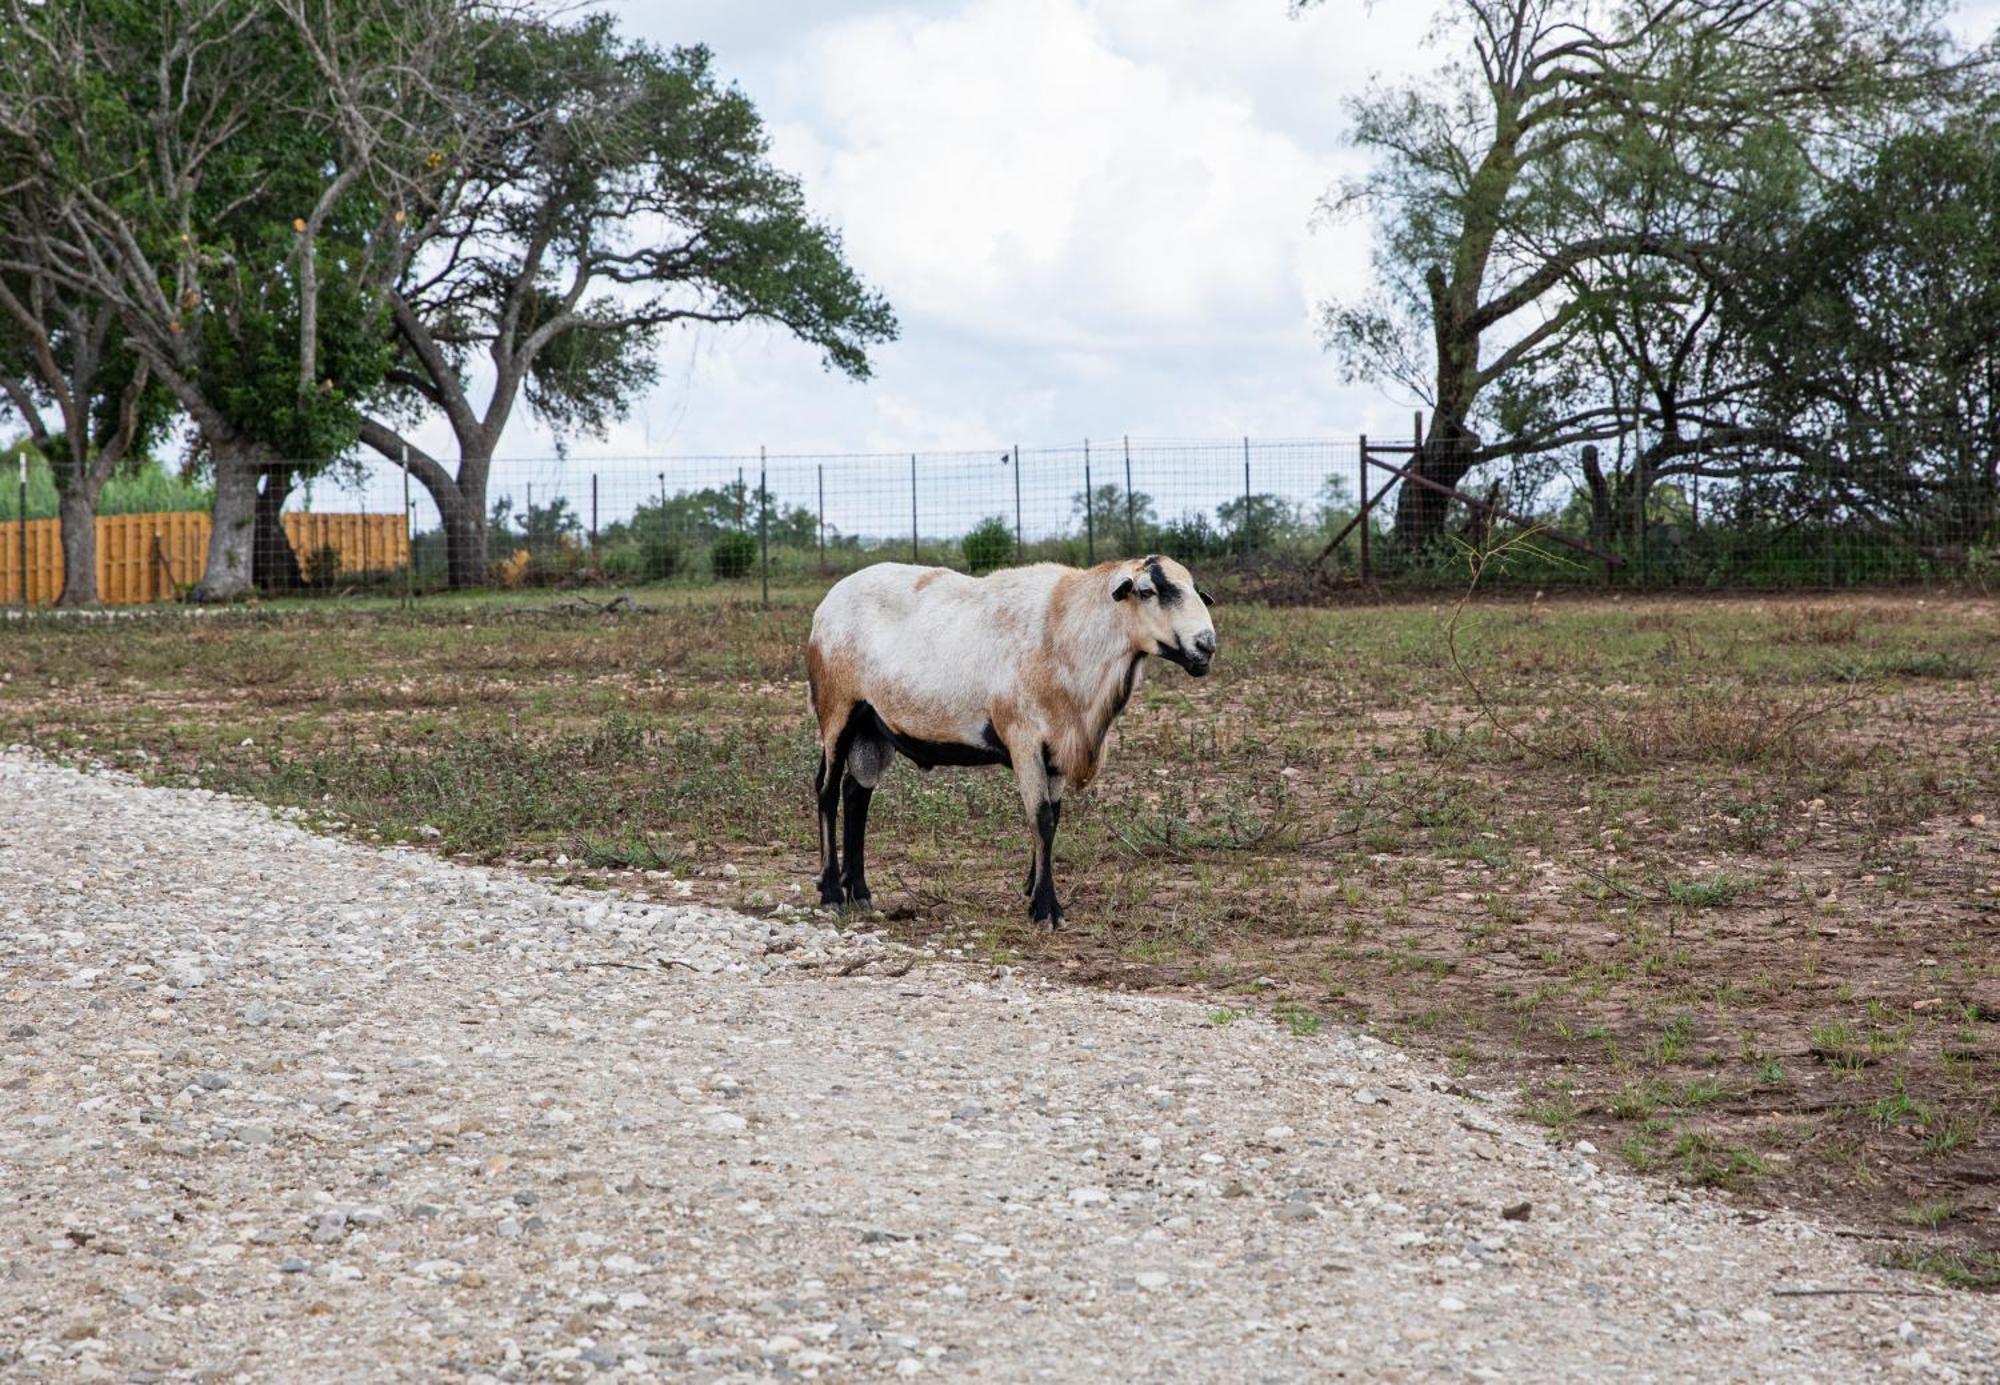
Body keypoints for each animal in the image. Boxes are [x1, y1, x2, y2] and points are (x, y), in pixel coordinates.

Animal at [800, 556, 1208, 928]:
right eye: (1147, 591)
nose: (1205, 646)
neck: (1067, 629)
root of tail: (825, 606)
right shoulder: (1024, 738)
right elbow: (1041, 817)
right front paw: (1046, 910)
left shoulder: (1057, 748)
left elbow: (1054, 816)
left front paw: (1032, 890)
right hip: (837, 708)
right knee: (827, 790)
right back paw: (832, 894)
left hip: (874, 726)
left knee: (857, 792)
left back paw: (859, 893)